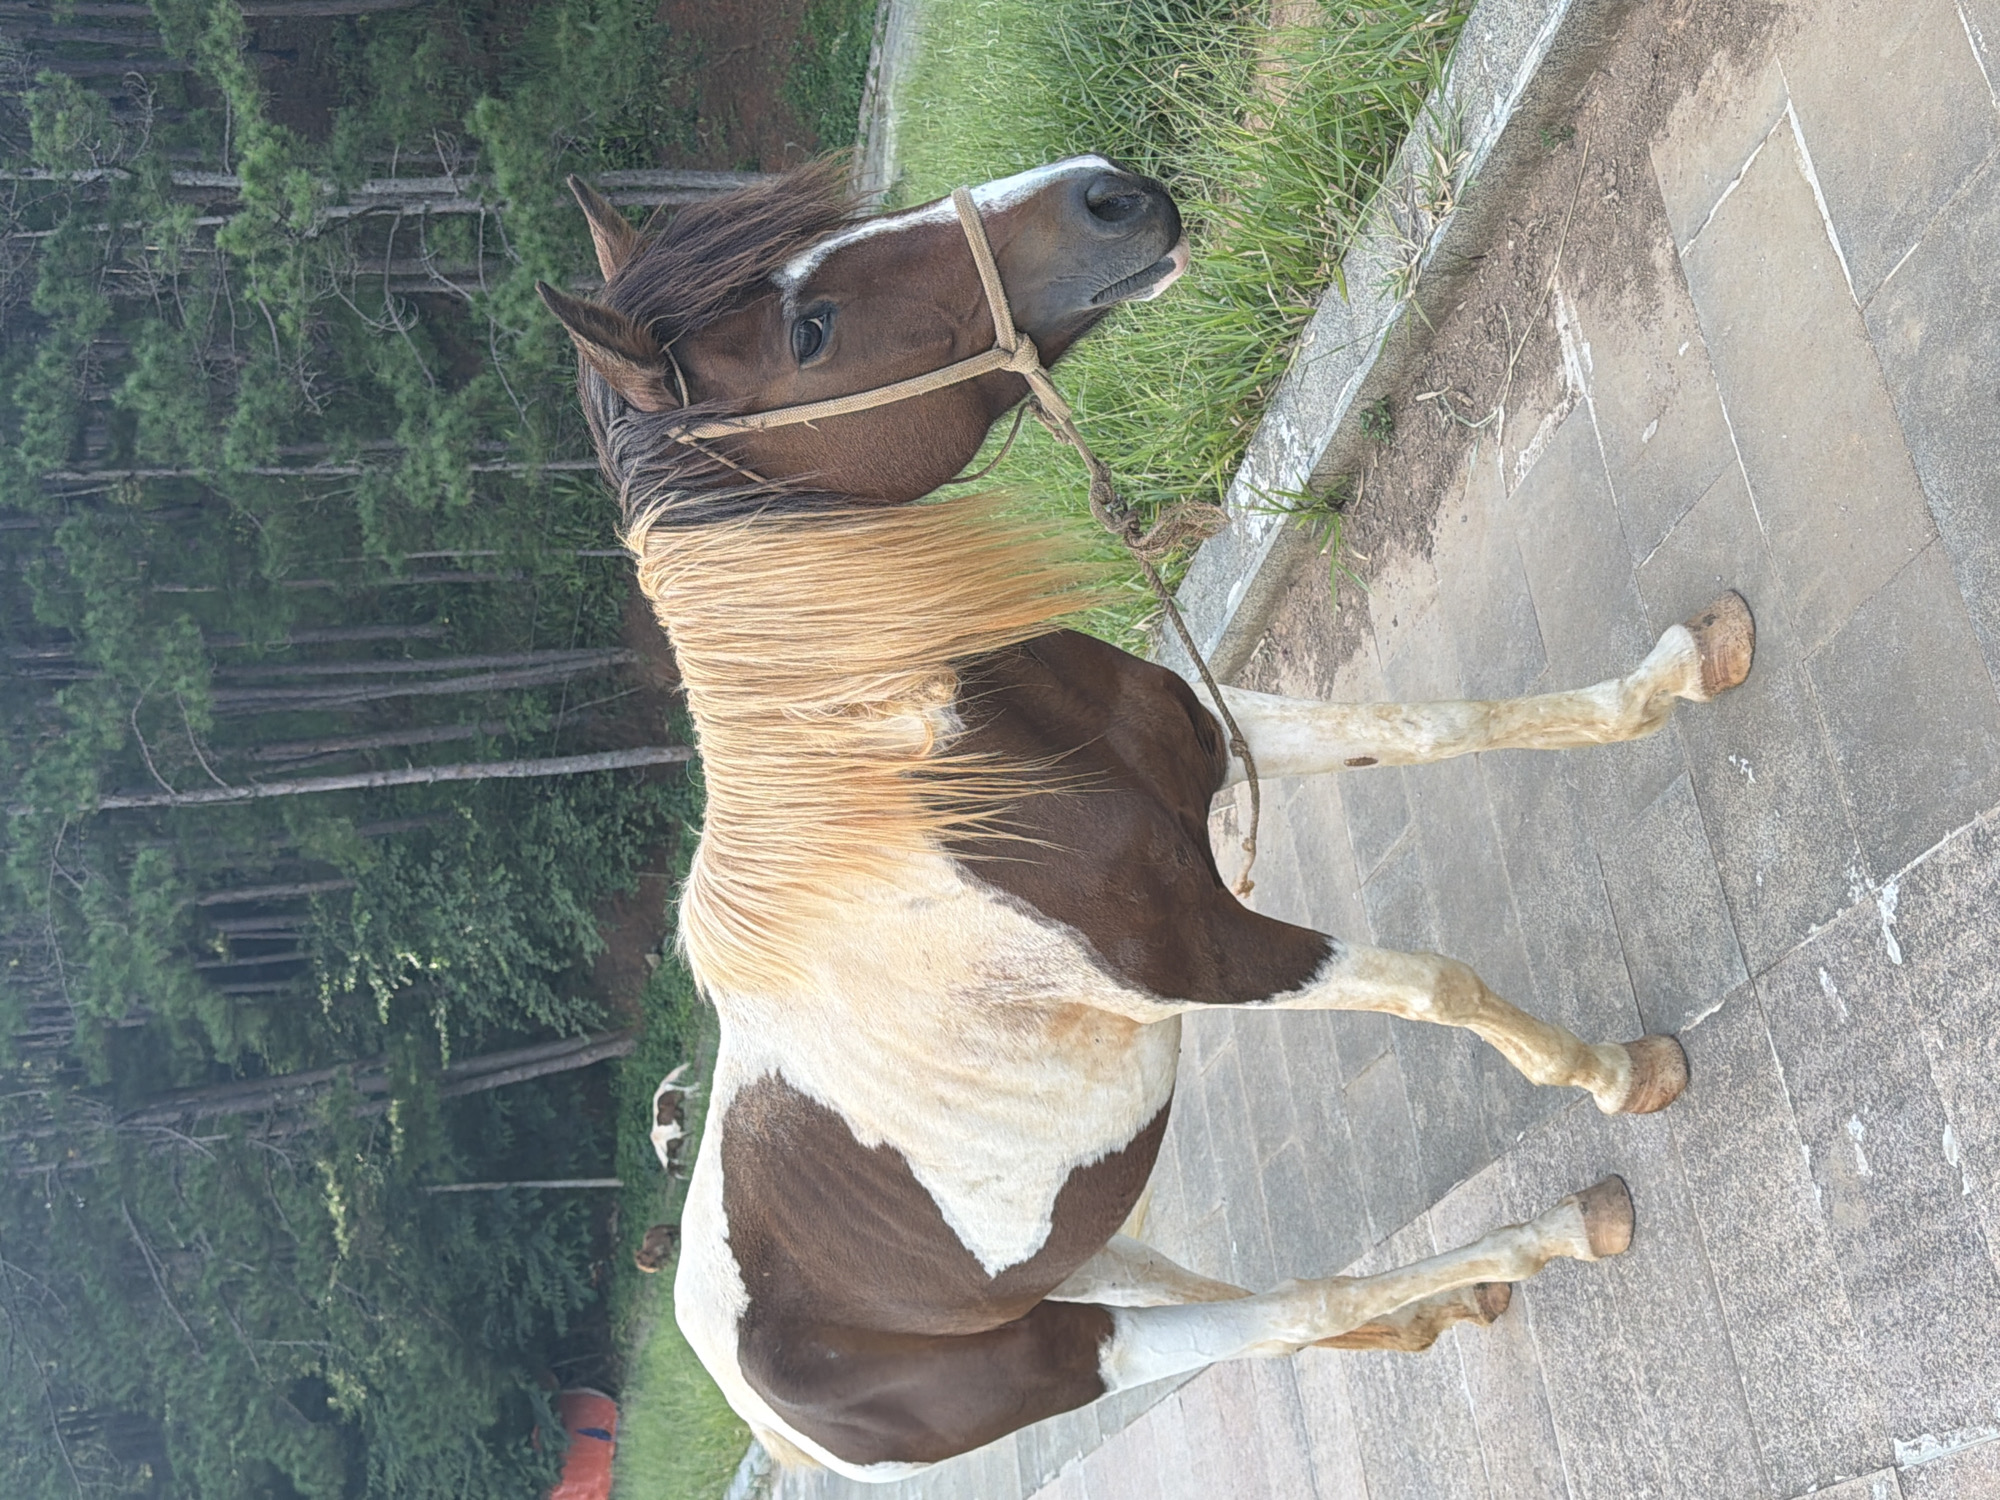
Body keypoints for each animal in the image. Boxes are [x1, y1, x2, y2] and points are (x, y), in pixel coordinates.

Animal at [536, 155, 1754, 1482]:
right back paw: (1560, 1229)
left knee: (1250, 1304)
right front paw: (1614, 1076)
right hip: (1061, 1356)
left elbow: (1439, 724)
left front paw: (1683, 670)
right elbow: (1436, 983)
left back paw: (1452, 1309)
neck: (918, 769)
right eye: (808, 331)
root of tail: (753, 1399)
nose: (1108, 194)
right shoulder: (1210, 959)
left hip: (1086, 1249)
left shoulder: (1215, 748)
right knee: (1279, 1317)